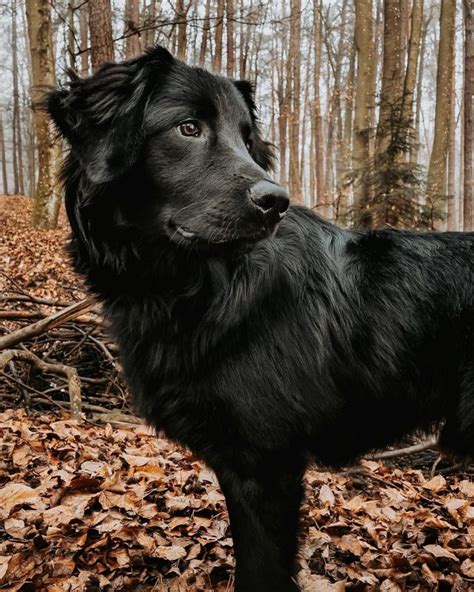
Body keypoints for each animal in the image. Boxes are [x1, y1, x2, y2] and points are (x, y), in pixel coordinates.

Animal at [45, 47, 474, 592]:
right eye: (188, 128)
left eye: (246, 138)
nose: (276, 202)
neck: (204, 286)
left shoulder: (266, 467)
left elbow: (260, 570)